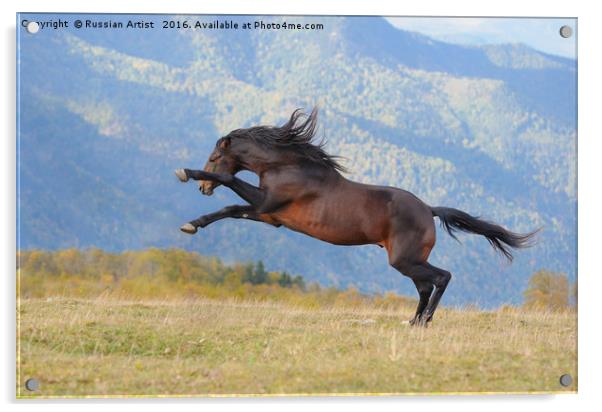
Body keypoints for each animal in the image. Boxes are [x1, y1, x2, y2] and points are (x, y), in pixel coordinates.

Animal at [173, 108, 536, 326]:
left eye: (213, 156)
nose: (204, 187)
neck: (288, 165)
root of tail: (429, 209)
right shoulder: (270, 215)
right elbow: (229, 210)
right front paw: (192, 223)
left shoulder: (265, 201)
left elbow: (229, 182)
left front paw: (185, 176)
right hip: (406, 260)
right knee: (425, 285)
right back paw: (414, 321)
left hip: (405, 259)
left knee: (441, 277)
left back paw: (425, 321)